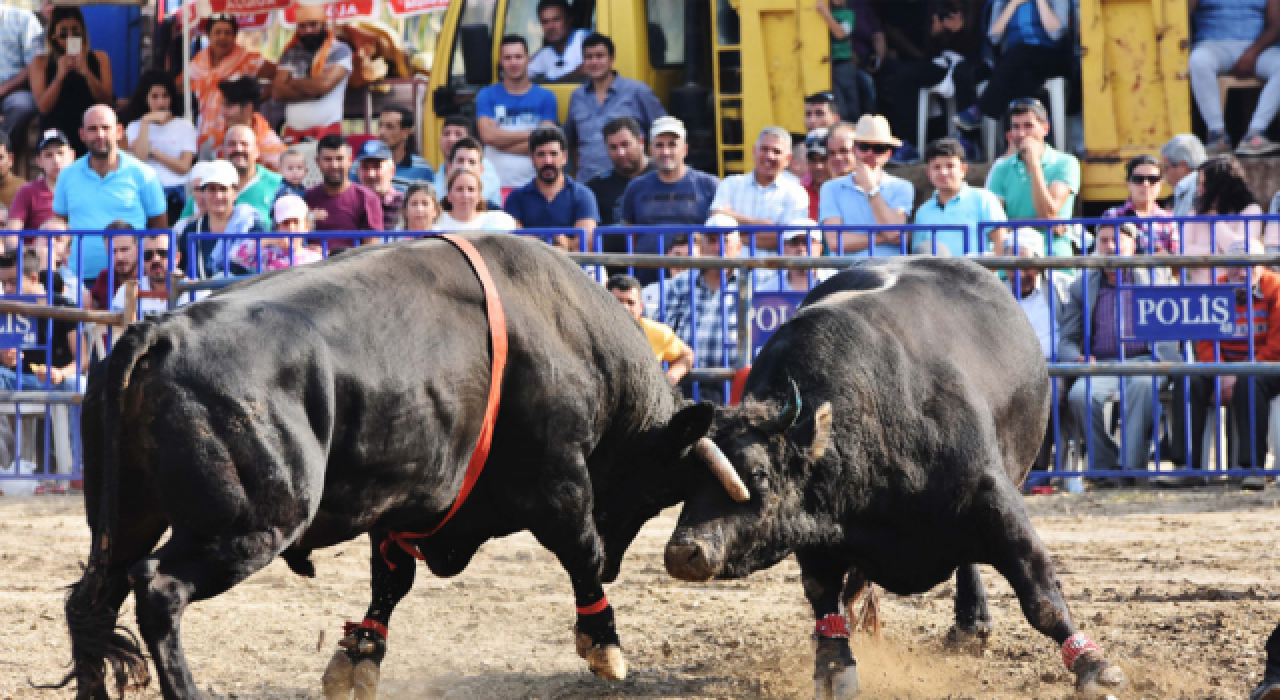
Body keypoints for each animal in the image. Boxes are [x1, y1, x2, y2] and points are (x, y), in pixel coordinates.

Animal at [60, 236, 742, 700]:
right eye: (657, 493)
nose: (623, 566)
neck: (564, 329)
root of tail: (160, 331)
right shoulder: (560, 480)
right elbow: (579, 549)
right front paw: (604, 644)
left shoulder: (402, 500)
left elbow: (391, 580)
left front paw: (360, 653)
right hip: (252, 523)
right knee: (159, 590)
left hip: (127, 521)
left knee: (92, 604)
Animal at [665, 259, 1126, 696]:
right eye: (688, 478)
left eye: (758, 473)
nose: (684, 552)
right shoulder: (814, 532)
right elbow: (824, 602)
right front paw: (834, 669)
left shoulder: (994, 497)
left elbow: (1040, 594)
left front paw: (1093, 665)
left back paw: (973, 624)